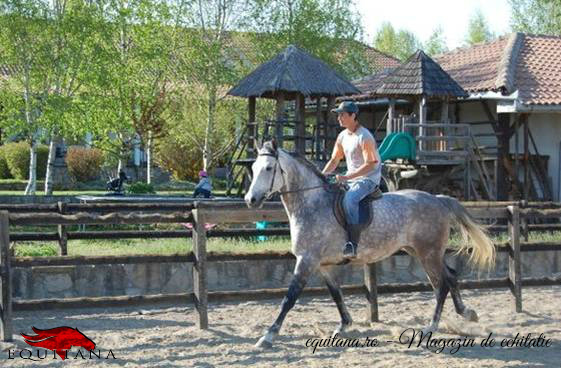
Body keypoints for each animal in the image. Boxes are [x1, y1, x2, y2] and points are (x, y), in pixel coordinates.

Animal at [245, 141, 494, 348]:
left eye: (269, 168)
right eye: (254, 168)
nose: (250, 200)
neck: (312, 204)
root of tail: (438, 199)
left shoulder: (307, 261)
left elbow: (289, 299)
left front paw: (267, 337)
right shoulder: (323, 265)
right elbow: (336, 294)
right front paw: (344, 325)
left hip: (428, 253)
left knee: (441, 285)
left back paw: (430, 327)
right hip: (421, 251)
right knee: (449, 276)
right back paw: (466, 313)